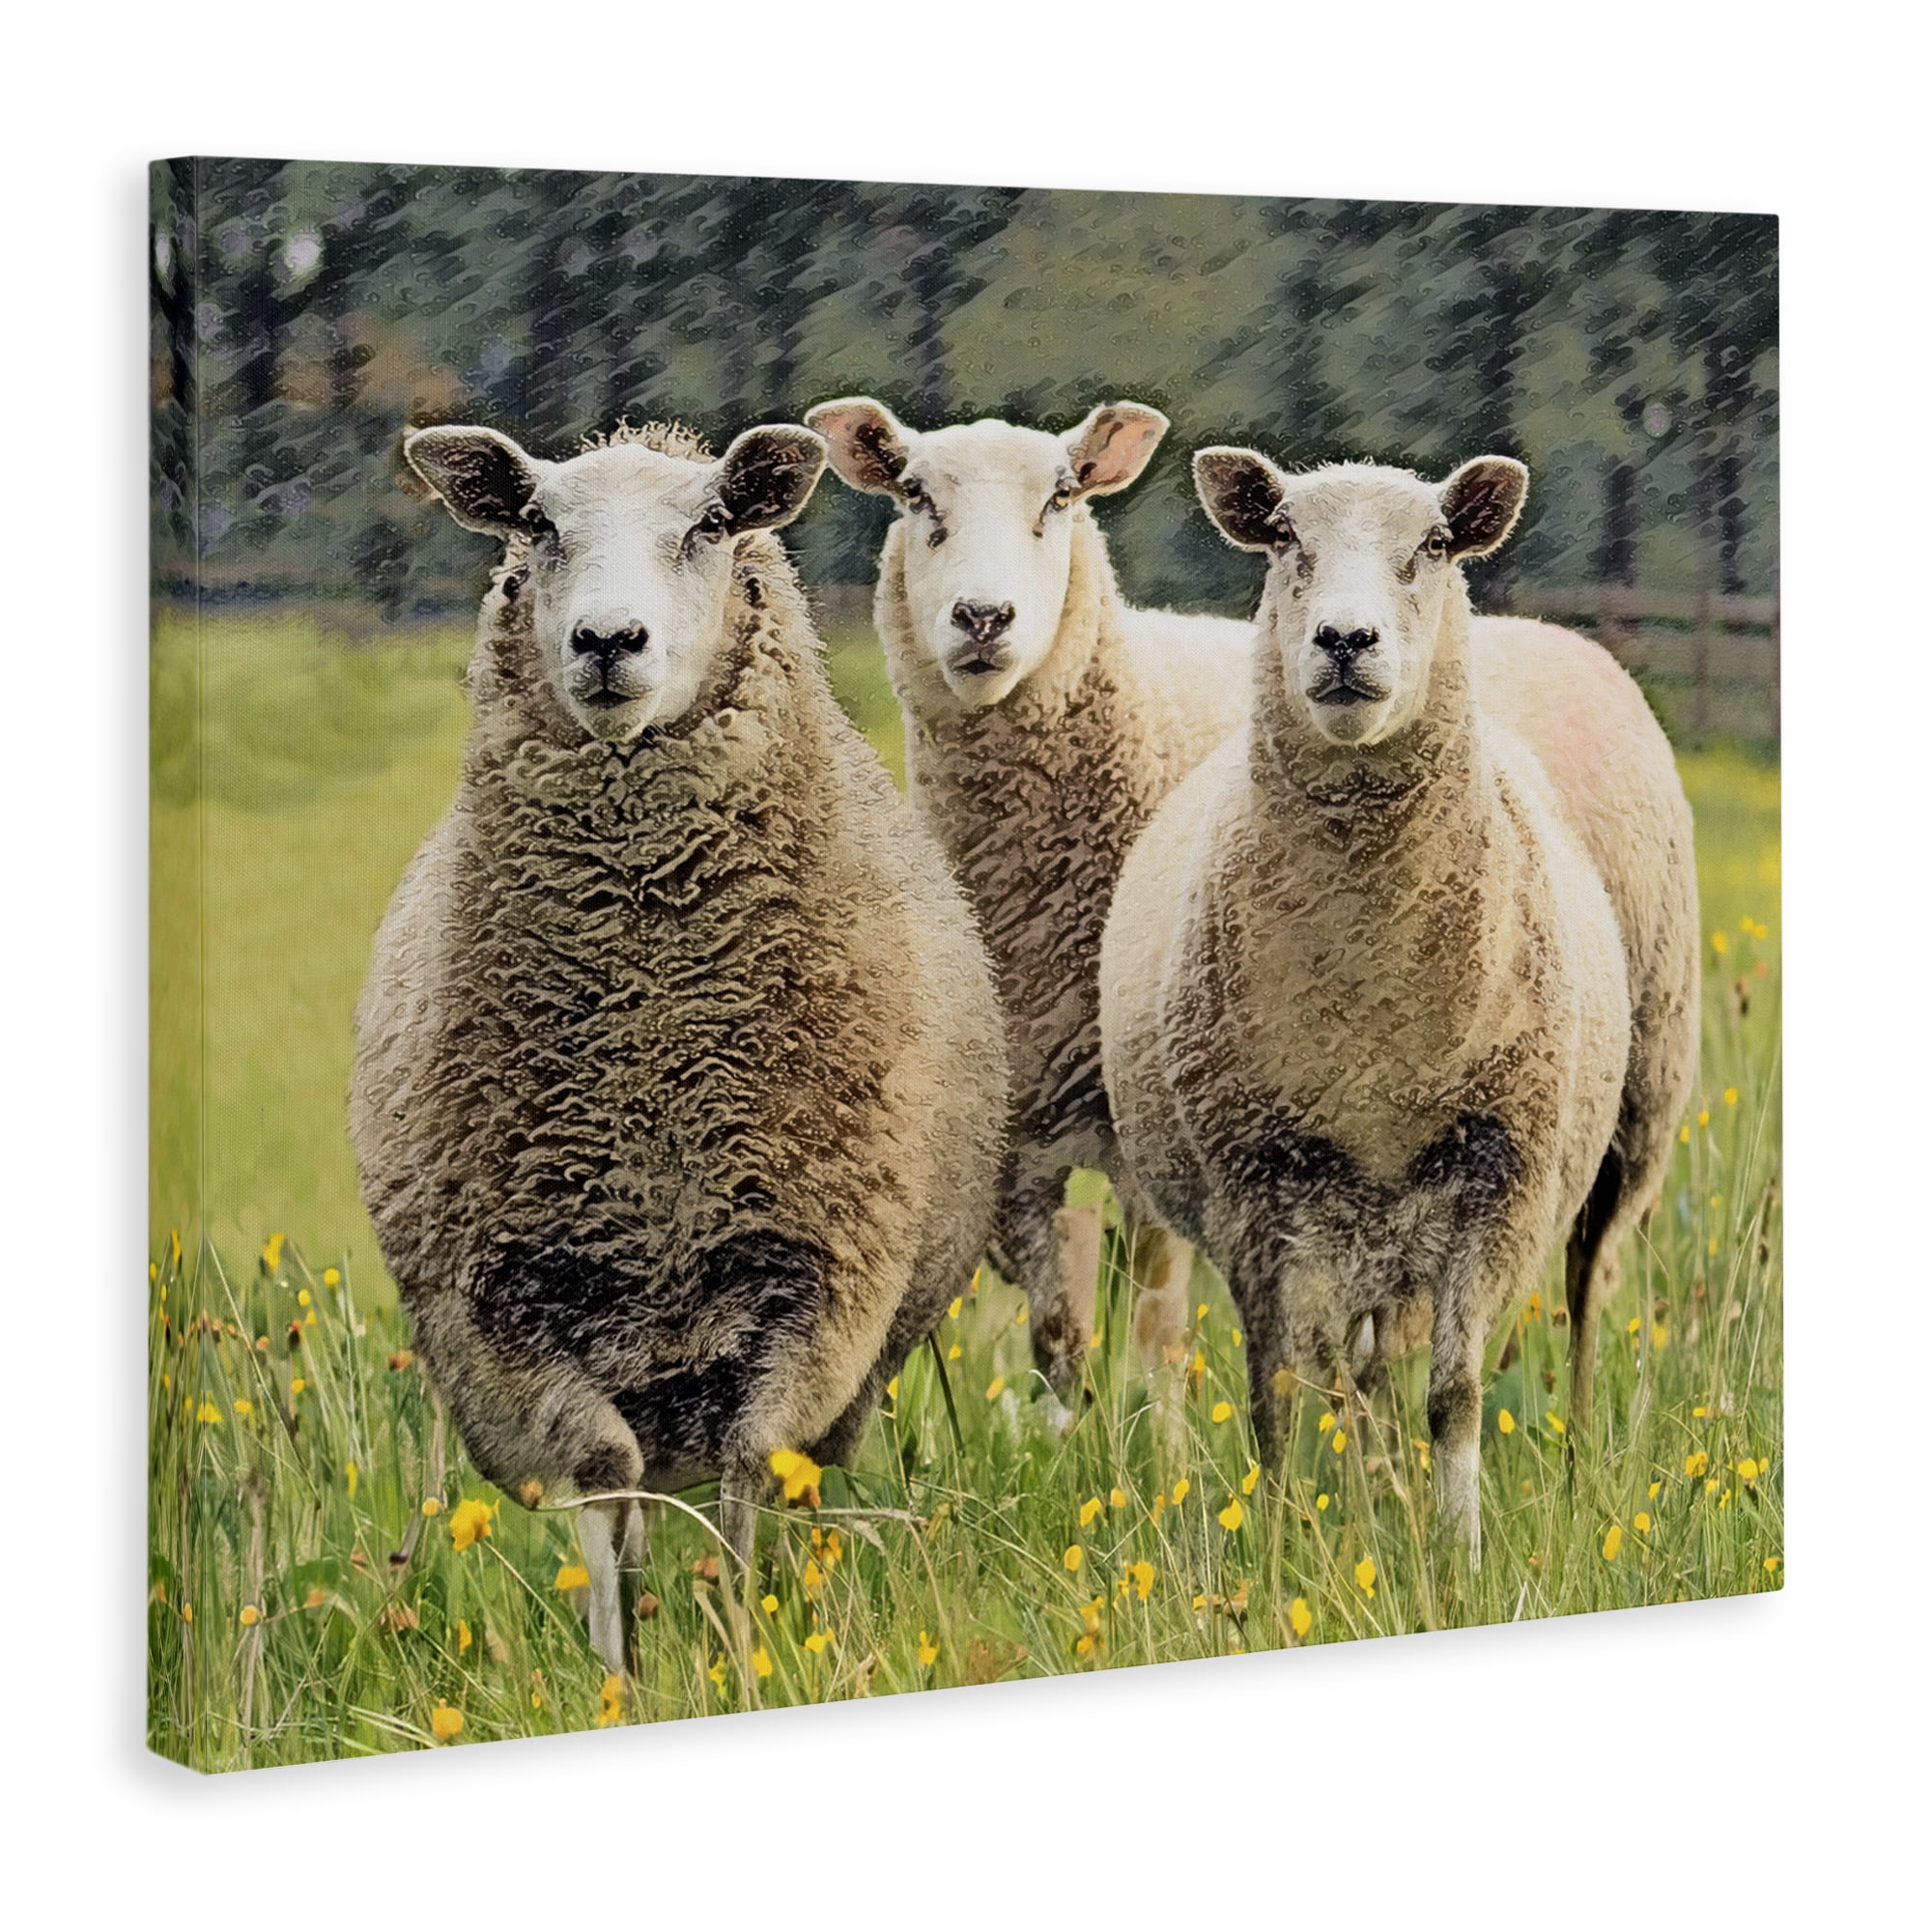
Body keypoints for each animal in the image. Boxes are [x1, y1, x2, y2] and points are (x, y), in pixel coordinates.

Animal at [350, 419, 1007, 1673]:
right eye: (536, 524)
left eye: (707, 525)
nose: (609, 640)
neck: (651, 1047)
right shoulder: (507, 1309)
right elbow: (602, 1476)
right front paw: (621, 1673)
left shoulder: (817, 1281)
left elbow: (756, 1464)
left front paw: (743, 1646)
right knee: (641, 1486)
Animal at [805, 396, 1253, 1399]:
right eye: (914, 493)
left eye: (1060, 497)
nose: (983, 615)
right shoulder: (1010, 1145)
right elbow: (1058, 1337)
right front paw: (1076, 1430)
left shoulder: (1146, 1134)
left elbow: (1155, 1329)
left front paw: (1152, 1435)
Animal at [1099, 450, 1698, 1558]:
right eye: (1284, 537)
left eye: (1431, 544)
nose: (1344, 639)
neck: (1371, 1004)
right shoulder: (1256, 1187)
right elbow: (1288, 1391)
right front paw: (1294, 1543)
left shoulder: (1500, 1173)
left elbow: (1455, 1395)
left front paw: (1457, 1552)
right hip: (1344, 1223)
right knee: (1343, 1372)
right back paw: (1358, 1496)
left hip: (1634, 1115)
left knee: (1589, 1292)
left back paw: (1579, 1462)